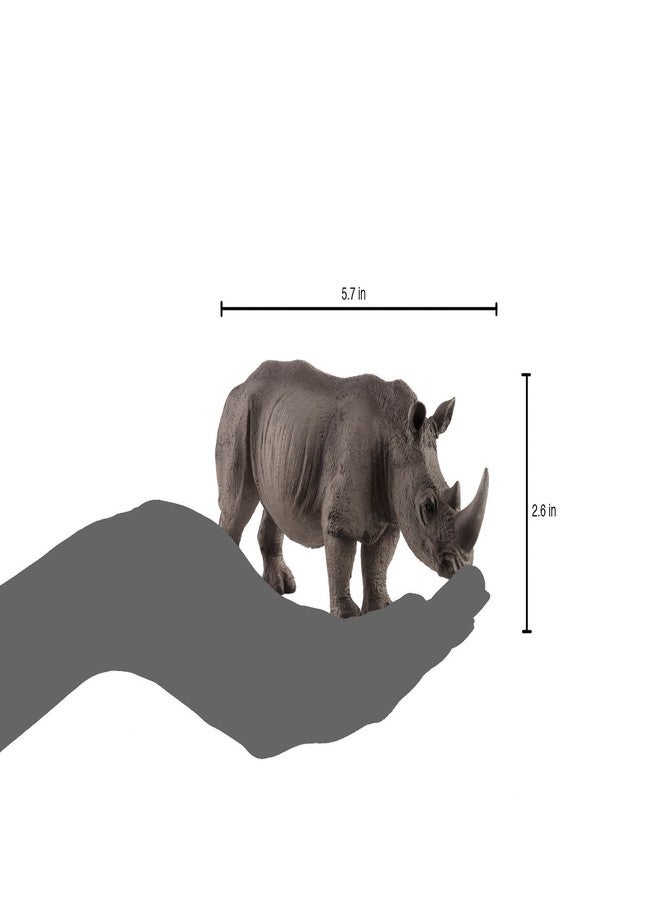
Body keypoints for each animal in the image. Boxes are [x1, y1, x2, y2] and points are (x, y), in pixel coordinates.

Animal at [216, 360, 489, 618]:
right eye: (428, 506)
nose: (460, 567)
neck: (396, 438)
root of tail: (246, 380)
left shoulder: (392, 509)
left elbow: (378, 562)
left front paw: (381, 608)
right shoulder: (343, 518)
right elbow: (342, 559)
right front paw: (347, 615)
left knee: (274, 503)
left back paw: (283, 587)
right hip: (239, 413)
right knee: (236, 506)